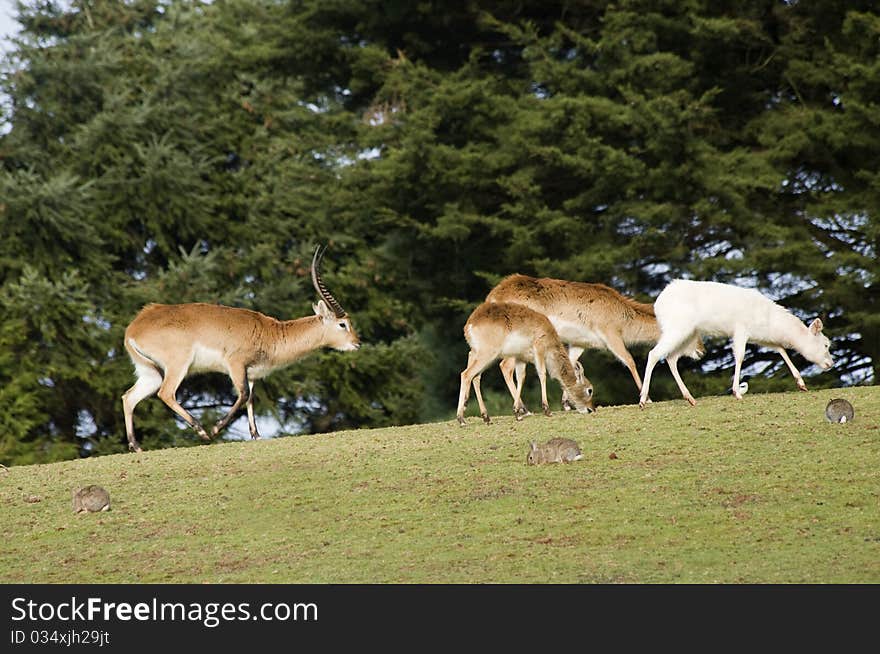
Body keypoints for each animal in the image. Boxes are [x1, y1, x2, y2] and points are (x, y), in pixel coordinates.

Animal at [122, 245, 360, 452]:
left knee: (129, 397)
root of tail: (135, 327)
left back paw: (137, 447)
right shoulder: (235, 365)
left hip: (151, 373)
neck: (270, 332)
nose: (357, 342)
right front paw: (216, 428)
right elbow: (244, 394)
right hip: (177, 366)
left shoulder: (251, 372)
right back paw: (202, 432)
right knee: (166, 393)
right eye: (343, 324)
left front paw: (256, 435)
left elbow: (251, 399)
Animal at [458, 302, 596, 428]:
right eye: (590, 390)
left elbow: (521, 378)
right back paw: (462, 420)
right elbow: (542, 374)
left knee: (475, 376)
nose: (591, 409)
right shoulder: (539, 349)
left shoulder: (520, 358)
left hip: (479, 354)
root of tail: (469, 324)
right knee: (466, 374)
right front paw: (547, 410)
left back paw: (486, 417)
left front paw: (517, 413)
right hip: (487, 354)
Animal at [484, 274, 704, 408]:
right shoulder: (611, 335)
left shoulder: (579, 343)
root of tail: (493, 296)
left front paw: (567, 402)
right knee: (505, 366)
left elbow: (572, 364)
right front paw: (647, 399)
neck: (624, 317)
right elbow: (630, 361)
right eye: (694, 331)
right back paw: (522, 408)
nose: (702, 351)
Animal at [640, 282, 832, 410]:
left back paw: (690, 398)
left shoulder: (761, 337)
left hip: (689, 334)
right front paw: (737, 392)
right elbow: (739, 356)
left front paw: (801, 384)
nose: (830, 363)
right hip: (678, 328)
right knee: (654, 353)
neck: (770, 323)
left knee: (671, 358)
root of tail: (658, 303)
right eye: (826, 345)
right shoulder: (740, 330)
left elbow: (780, 349)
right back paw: (643, 399)